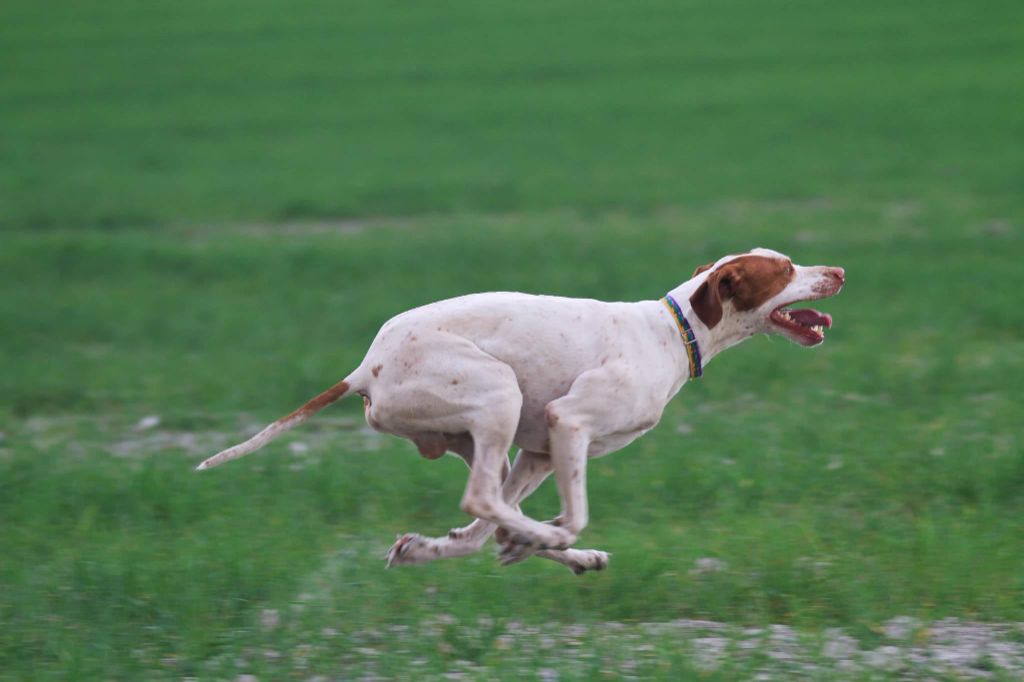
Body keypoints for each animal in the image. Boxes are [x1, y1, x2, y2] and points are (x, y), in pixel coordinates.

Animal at [195, 246, 843, 569]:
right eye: (785, 269)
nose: (837, 271)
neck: (671, 331)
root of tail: (366, 366)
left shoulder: (540, 450)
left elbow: (498, 528)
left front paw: (523, 543)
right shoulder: (569, 423)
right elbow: (571, 513)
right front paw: (545, 538)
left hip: (490, 438)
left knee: (483, 519)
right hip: (497, 394)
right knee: (482, 503)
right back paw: (543, 543)